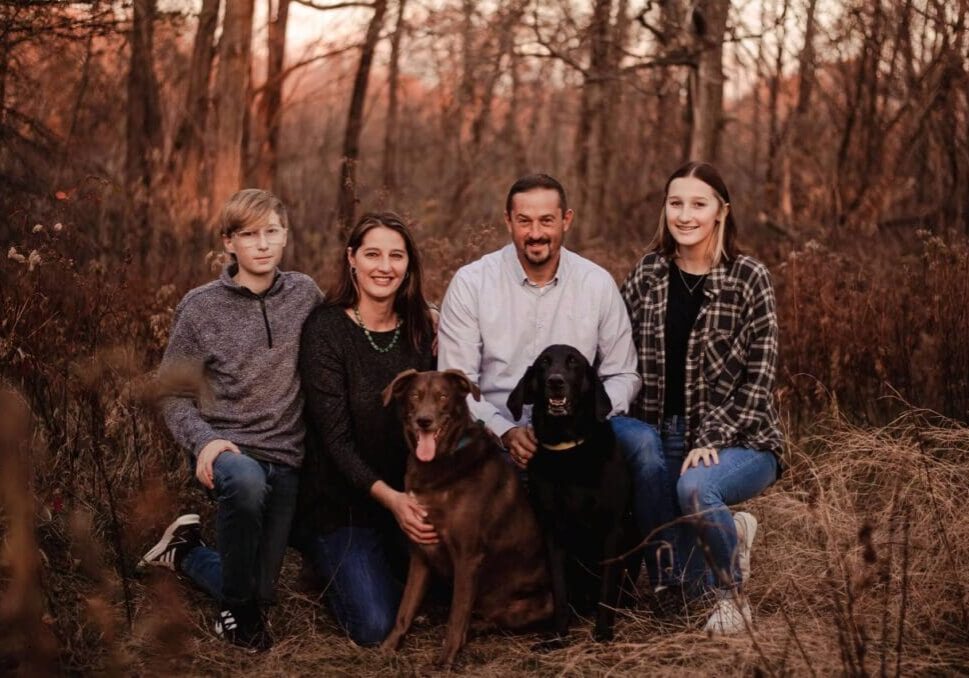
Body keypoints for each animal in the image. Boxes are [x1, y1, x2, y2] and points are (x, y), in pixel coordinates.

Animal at [502, 346, 640, 644]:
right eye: (544, 363)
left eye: (573, 363)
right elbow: (560, 590)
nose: (555, 381)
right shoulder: (552, 531)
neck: (567, 448)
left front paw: (603, 632)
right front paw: (558, 636)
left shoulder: (611, 529)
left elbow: (606, 588)